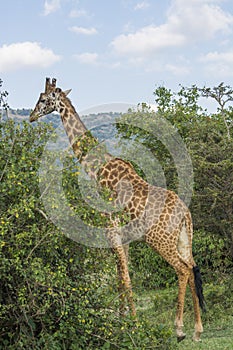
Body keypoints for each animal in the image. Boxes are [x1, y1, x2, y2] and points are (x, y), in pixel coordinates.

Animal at [29, 77, 206, 342]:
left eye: (42, 99)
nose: (31, 116)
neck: (97, 168)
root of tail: (185, 213)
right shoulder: (123, 236)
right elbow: (121, 277)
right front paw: (123, 320)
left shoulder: (110, 230)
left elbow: (125, 277)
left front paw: (132, 324)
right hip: (184, 239)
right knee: (193, 269)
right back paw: (197, 330)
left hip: (160, 240)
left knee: (183, 270)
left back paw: (179, 329)